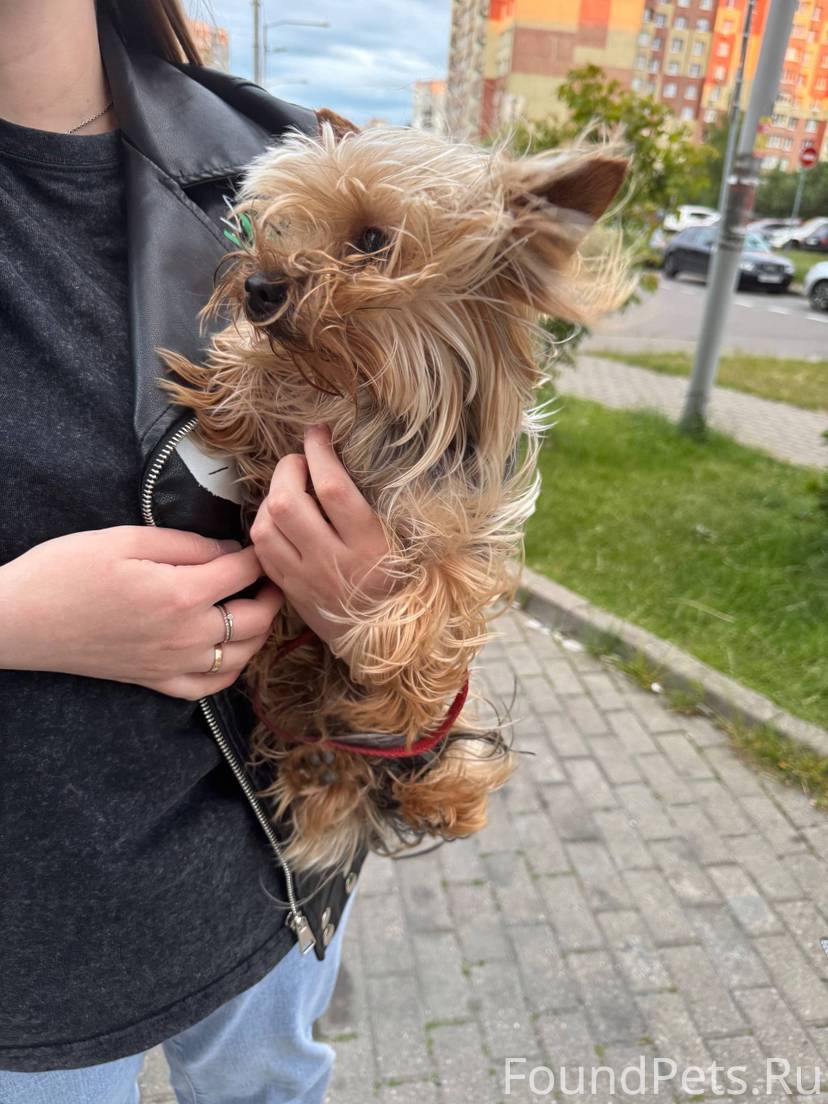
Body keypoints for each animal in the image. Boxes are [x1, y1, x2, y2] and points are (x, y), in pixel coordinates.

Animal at [160, 112, 631, 875]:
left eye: (374, 241)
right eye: (283, 224)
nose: (258, 285)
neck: (380, 400)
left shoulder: (465, 528)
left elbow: (443, 592)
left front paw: (390, 652)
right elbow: (262, 398)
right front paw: (239, 366)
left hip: (443, 737)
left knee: (442, 756)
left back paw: (429, 791)